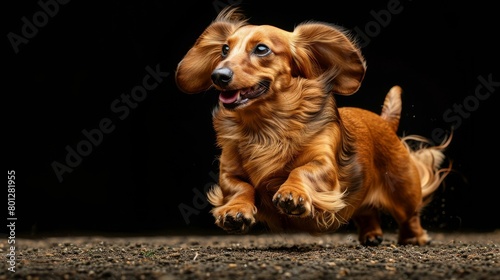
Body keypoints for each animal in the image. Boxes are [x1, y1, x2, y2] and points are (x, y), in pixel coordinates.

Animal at [176, 7, 454, 245]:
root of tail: (385, 122)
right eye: (224, 49)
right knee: (365, 211)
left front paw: (293, 194)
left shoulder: (324, 163)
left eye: (262, 49)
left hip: (403, 191)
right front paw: (235, 210)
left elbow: (302, 171)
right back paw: (371, 235)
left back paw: (413, 238)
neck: (266, 129)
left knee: (410, 216)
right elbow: (239, 186)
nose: (218, 76)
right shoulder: (228, 171)